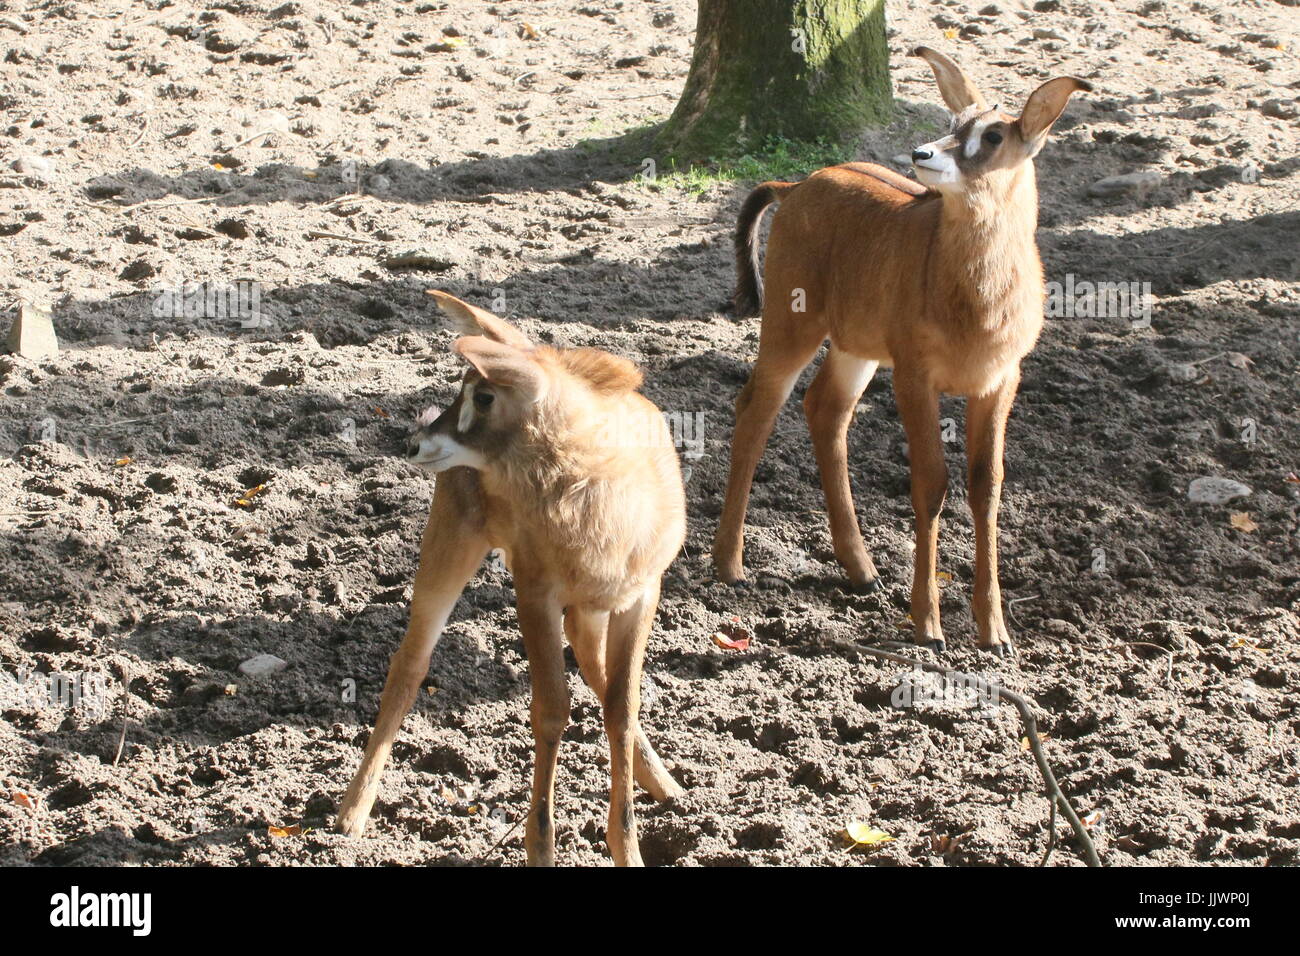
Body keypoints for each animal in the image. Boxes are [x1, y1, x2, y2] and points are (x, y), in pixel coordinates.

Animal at [338, 291, 691, 868]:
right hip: (450, 549)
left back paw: (665, 783)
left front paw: (628, 846)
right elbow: (551, 710)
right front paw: (541, 846)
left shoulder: (639, 596)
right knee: (409, 665)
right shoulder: (535, 594)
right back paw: (352, 812)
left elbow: (622, 707)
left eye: (482, 396)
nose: (416, 444)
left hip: (591, 606)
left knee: (596, 670)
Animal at [712, 44, 1086, 658]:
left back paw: (861, 570)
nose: (923, 152)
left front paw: (995, 632)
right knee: (756, 410)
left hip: (856, 349)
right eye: (955, 121)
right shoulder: (916, 376)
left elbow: (986, 487)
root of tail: (796, 186)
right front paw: (927, 625)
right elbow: (931, 483)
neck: (976, 300)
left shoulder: (1000, 380)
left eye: (993, 136)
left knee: (825, 409)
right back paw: (730, 565)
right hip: (792, 326)